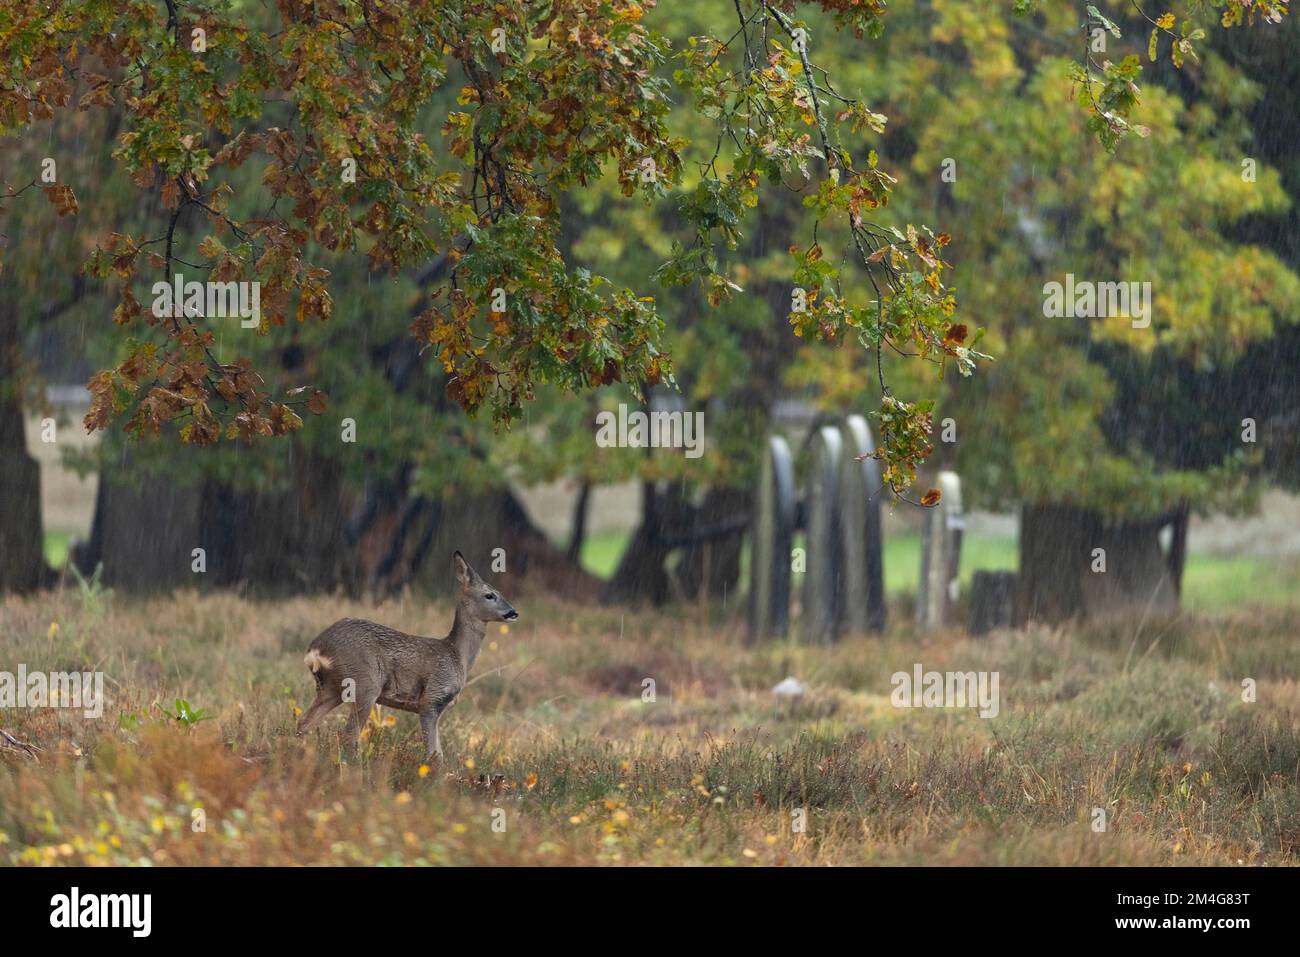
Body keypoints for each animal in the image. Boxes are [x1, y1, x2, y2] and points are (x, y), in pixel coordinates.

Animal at [296, 553, 517, 764]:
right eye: (489, 595)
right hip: (364, 683)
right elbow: (433, 754)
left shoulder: (438, 707)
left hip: (330, 688)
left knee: (304, 722)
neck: (457, 656)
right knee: (348, 734)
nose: (513, 612)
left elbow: (439, 753)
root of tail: (316, 648)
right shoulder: (431, 699)